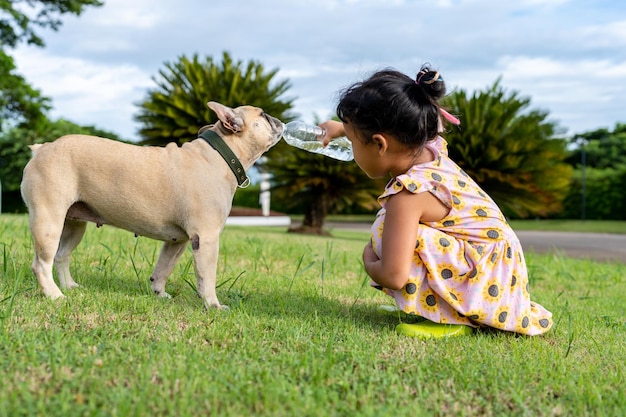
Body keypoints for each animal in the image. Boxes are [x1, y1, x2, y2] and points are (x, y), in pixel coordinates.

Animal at [20, 101, 282, 308]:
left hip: (73, 225)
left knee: (62, 256)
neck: (221, 154)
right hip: (48, 220)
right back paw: (55, 295)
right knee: (41, 263)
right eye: (263, 115)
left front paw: (159, 293)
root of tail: (42, 149)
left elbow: (163, 268)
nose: (279, 120)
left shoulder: (177, 241)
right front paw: (213, 305)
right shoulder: (206, 238)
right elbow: (207, 276)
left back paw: (69, 286)